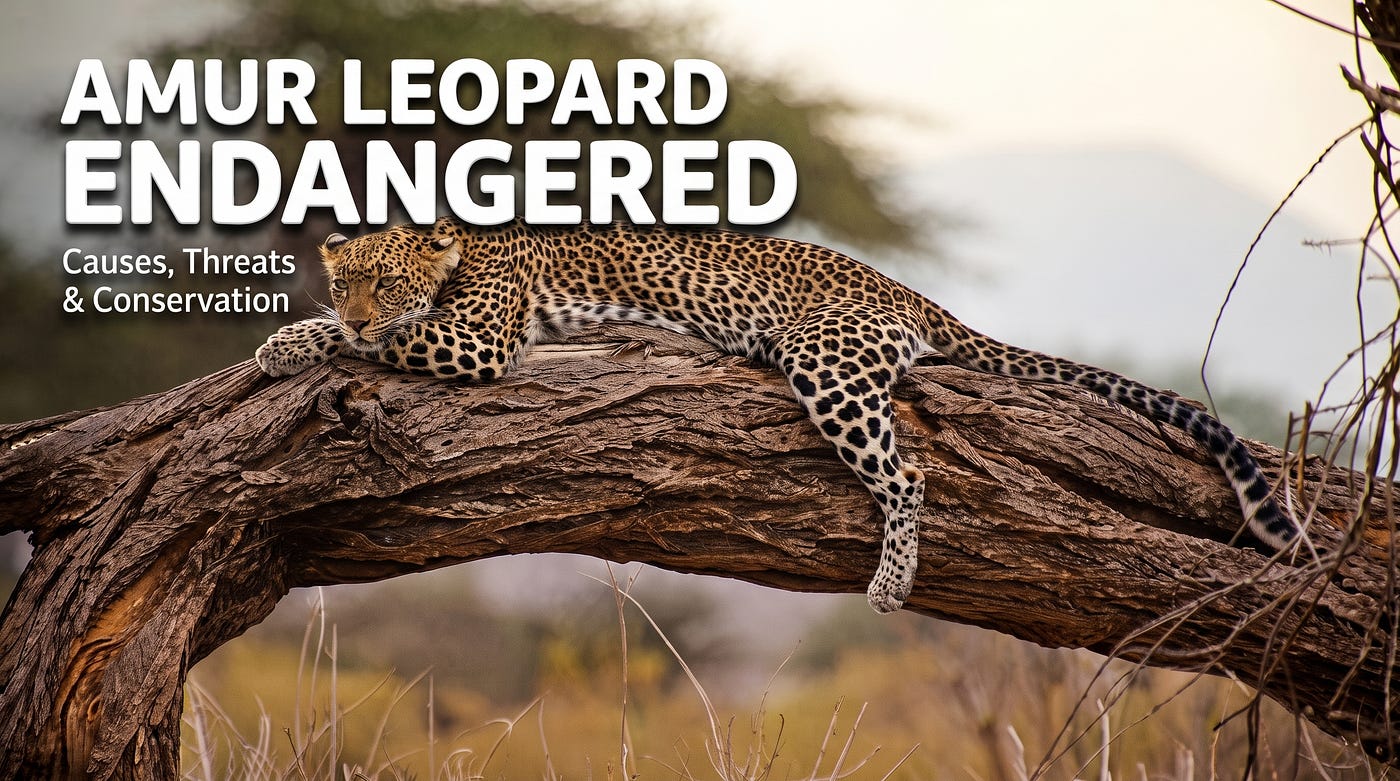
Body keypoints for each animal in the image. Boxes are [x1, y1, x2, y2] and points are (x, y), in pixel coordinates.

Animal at [256, 216, 1299, 613]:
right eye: (345, 278)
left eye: (385, 284)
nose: (357, 306)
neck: (461, 252)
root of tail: (906, 290)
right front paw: (292, 336)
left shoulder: (474, 338)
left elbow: (377, 345)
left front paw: (302, 343)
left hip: (825, 359)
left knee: (907, 473)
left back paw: (889, 581)